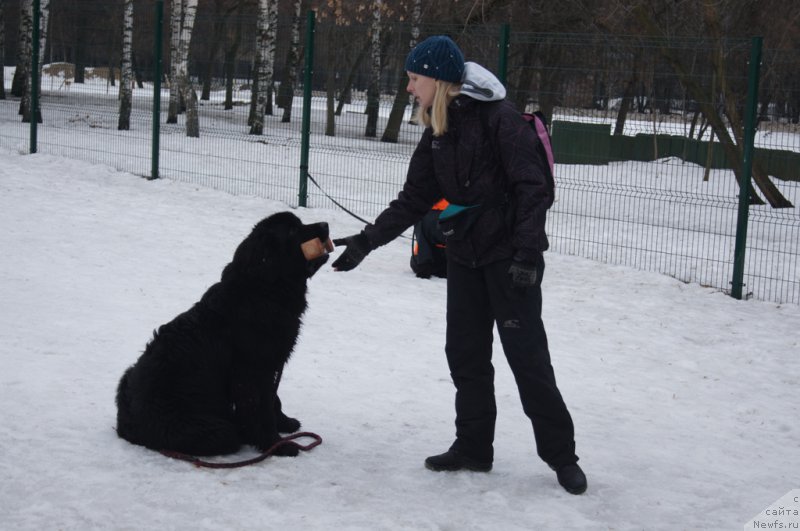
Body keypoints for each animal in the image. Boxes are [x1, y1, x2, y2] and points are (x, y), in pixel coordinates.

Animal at [115, 212, 332, 458]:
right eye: (292, 231)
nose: (325, 224)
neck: (264, 291)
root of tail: (124, 425)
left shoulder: (271, 364)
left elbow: (273, 398)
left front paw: (284, 423)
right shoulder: (252, 371)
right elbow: (262, 408)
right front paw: (276, 444)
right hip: (211, 429)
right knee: (227, 434)